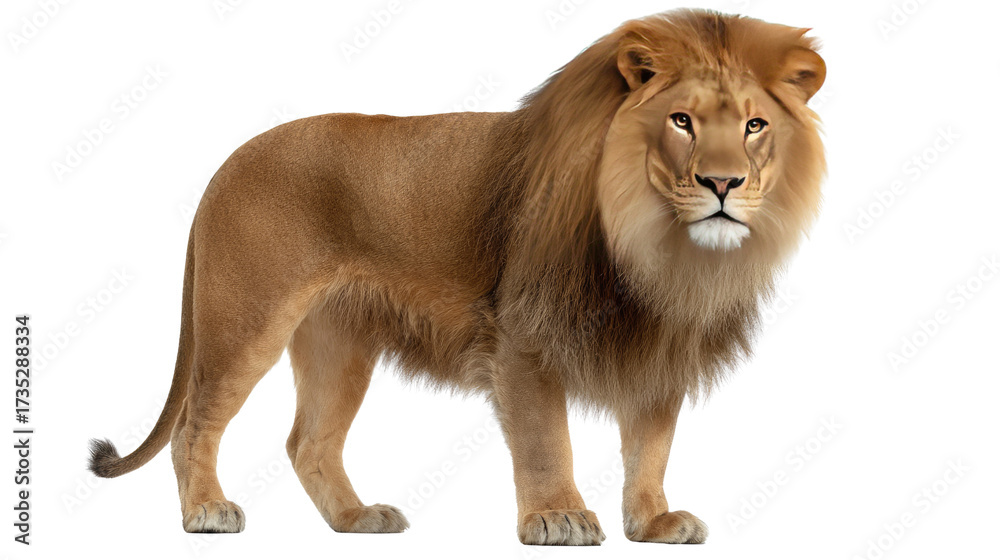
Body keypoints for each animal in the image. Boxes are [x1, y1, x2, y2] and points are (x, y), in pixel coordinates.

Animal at [88, 9, 825, 545]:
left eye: (755, 125)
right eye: (681, 121)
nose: (723, 184)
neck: (655, 246)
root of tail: (226, 163)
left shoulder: (659, 343)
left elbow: (652, 443)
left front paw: (651, 522)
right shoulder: (523, 336)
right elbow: (545, 438)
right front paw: (558, 517)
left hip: (339, 342)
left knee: (308, 442)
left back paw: (356, 520)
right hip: (248, 318)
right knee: (195, 421)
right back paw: (206, 512)